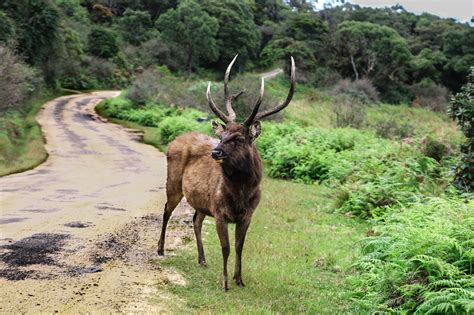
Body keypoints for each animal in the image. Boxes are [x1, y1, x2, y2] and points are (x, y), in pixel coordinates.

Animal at [157, 56, 294, 292]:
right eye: (222, 136)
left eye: (239, 139)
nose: (216, 151)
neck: (240, 195)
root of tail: (175, 140)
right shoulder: (219, 211)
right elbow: (226, 247)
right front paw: (225, 282)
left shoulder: (248, 214)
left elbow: (239, 247)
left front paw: (239, 279)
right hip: (173, 182)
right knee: (166, 210)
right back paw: (160, 249)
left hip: (201, 201)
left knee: (196, 219)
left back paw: (202, 260)